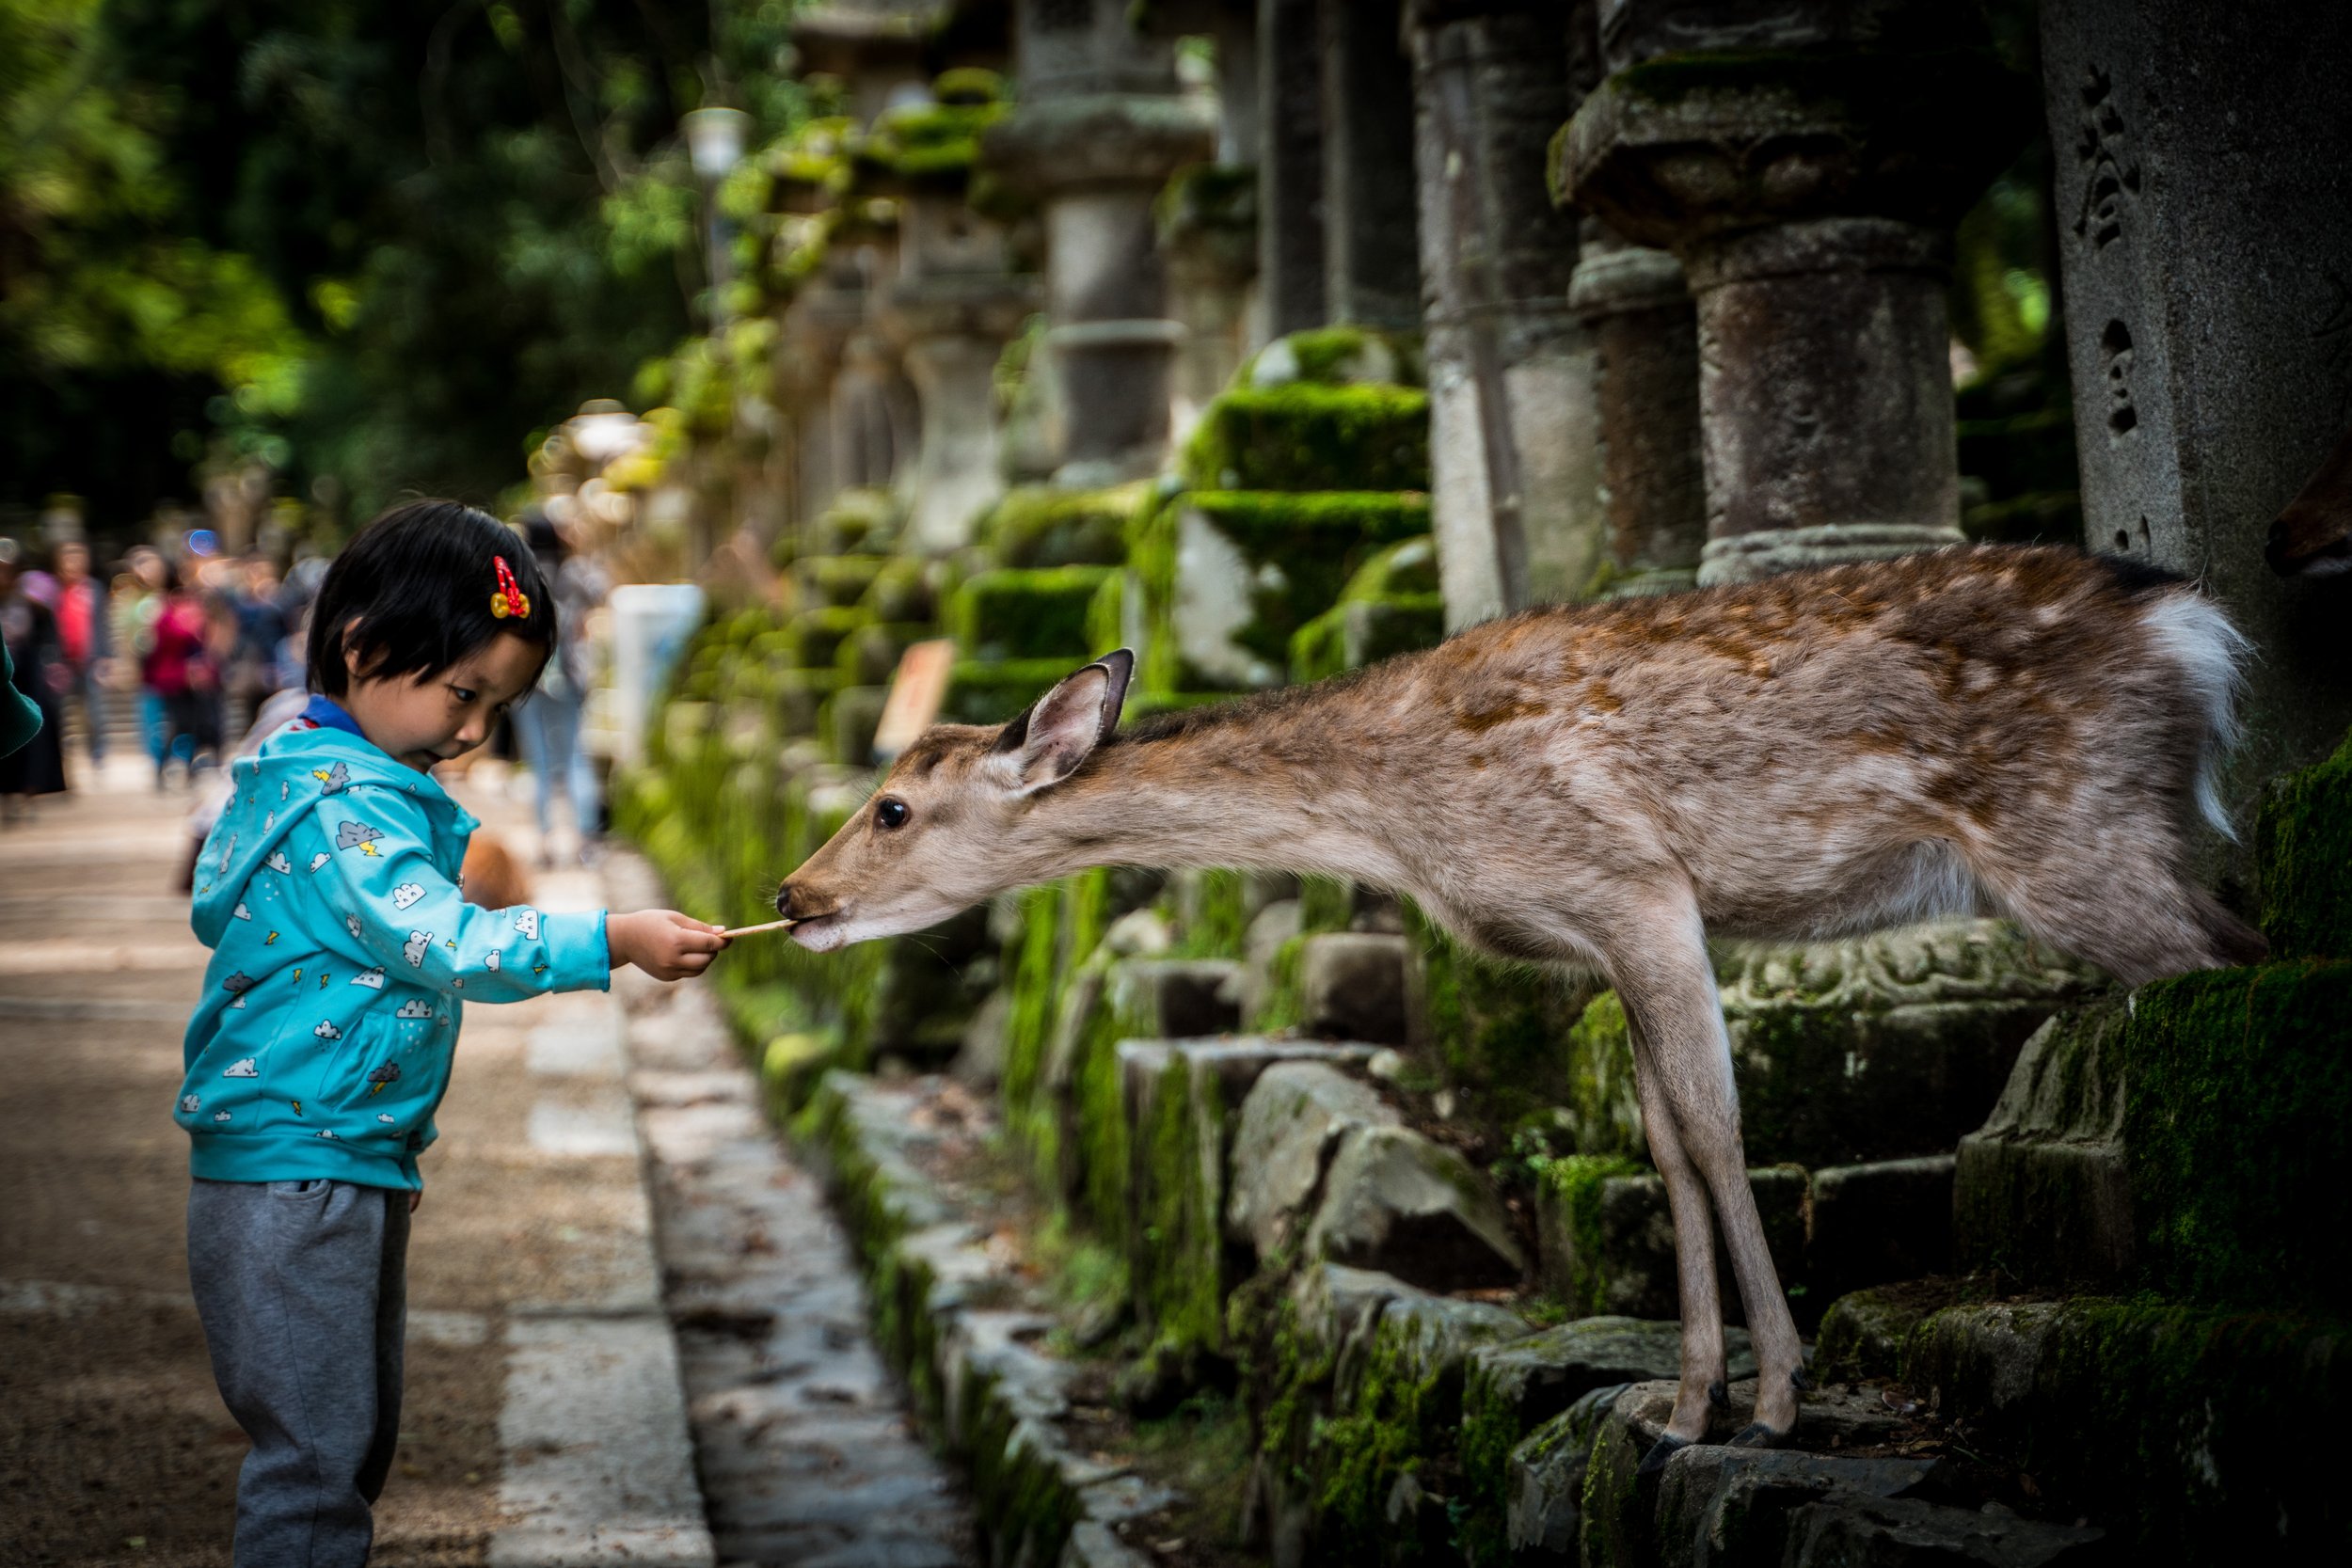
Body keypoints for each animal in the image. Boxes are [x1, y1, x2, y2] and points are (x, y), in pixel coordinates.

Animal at [771, 545, 2258, 1466]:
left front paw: (1778, 1401)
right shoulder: (1603, 936)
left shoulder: (1637, 885)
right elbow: (1662, 1143)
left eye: (890, 804)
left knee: (2235, 968)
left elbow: (1715, 1128)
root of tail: (2190, 626)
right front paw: (1682, 1404)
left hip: (2081, 837)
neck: (1403, 822)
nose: (791, 891)